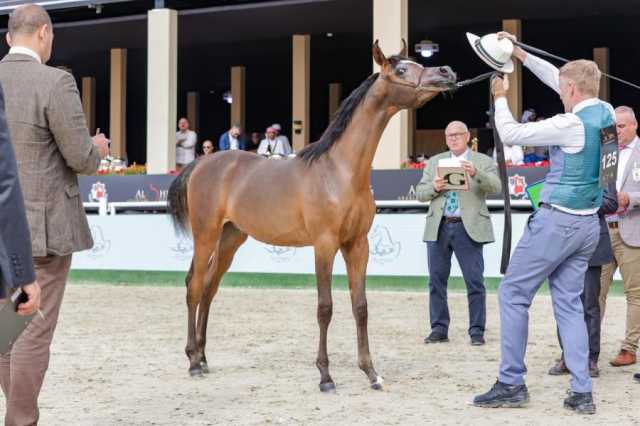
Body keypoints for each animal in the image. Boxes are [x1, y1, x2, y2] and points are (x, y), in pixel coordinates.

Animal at [165, 41, 456, 392]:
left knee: (209, 288)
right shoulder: (325, 245)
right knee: (194, 286)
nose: (447, 72)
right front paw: (326, 376)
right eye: (401, 70)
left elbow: (360, 307)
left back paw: (204, 357)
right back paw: (193, 362)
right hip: (205, 234)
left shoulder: (358, 245)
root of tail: (201, 163)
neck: (340, 172)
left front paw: (371, 373)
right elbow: (325, 308)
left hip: (230, 238)